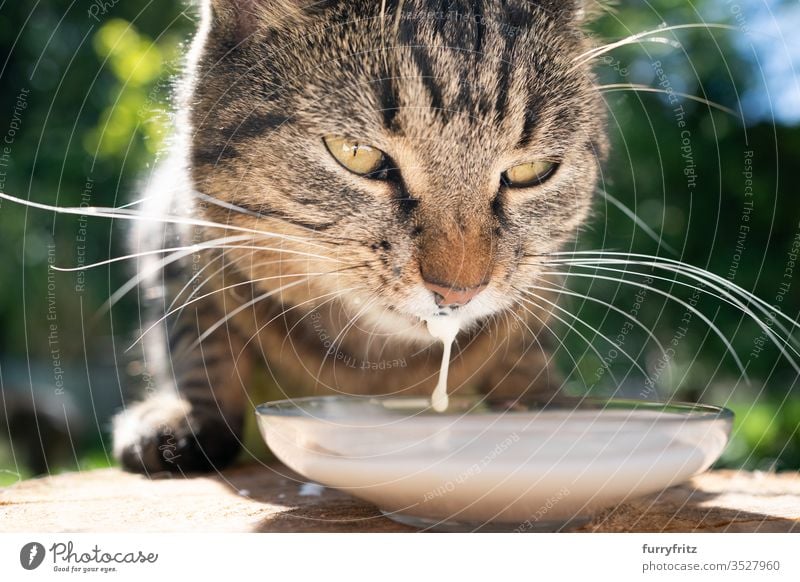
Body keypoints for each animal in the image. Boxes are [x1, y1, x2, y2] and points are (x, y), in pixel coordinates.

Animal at [112, 0, 608, 474]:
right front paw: (187, 414)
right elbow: (195, 337)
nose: (458, 290)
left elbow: (525, 345)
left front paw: (543, 401)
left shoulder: (541, 285)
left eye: (531, 171)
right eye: (356, 154)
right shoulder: (175, 240)